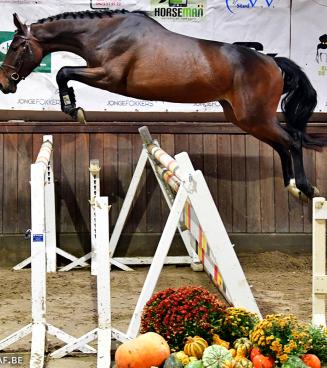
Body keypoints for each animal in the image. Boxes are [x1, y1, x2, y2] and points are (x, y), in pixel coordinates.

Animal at [0, 10, 326, 201]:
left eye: (15, 46)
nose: (5, 83)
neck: (105, 32)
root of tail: (272, 62)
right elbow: (64, 72)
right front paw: (72, 107)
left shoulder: (107, 76)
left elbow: (63, 72)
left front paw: (72, 108)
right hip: (243, 118)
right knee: (282, 143)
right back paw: (291, 185)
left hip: (255, 116)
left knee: (292, 140)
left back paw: (306, 187)